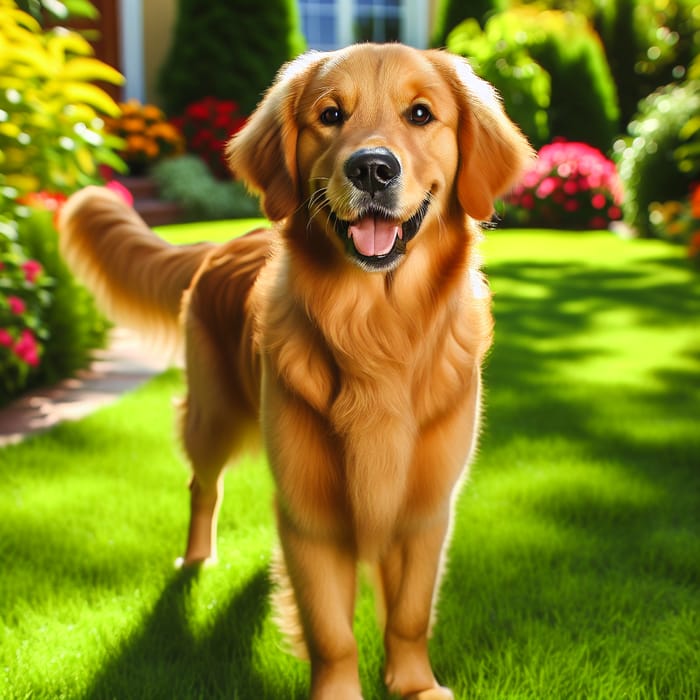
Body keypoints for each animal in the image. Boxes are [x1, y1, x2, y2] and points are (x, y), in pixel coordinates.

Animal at [60, 43, 532, 700]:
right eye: (330, 116)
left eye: (420, 114)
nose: (372, 169)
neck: (376, 330)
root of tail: (220, 244)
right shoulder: (309, 513)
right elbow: (331, 632)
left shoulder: (427, 508)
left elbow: (409, 614)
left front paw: (414, 685)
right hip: (213, 417)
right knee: (202, 487)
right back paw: (195, 560)